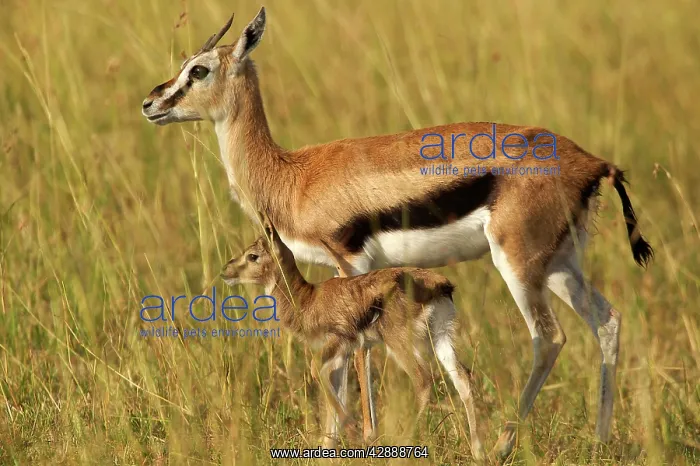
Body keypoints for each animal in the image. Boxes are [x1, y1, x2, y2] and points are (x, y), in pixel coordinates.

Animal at [220, 215, 484, 458]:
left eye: (252, 256)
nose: (225, 272)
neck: (307, 300)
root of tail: (439, 285)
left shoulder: (338, 342)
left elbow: (317, 371)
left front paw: (355, 433)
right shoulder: (343, 353)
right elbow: (334, 387)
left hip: (399, 343)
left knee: (423, 379)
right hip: (440, 338)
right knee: (463, 378)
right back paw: (478, 451)